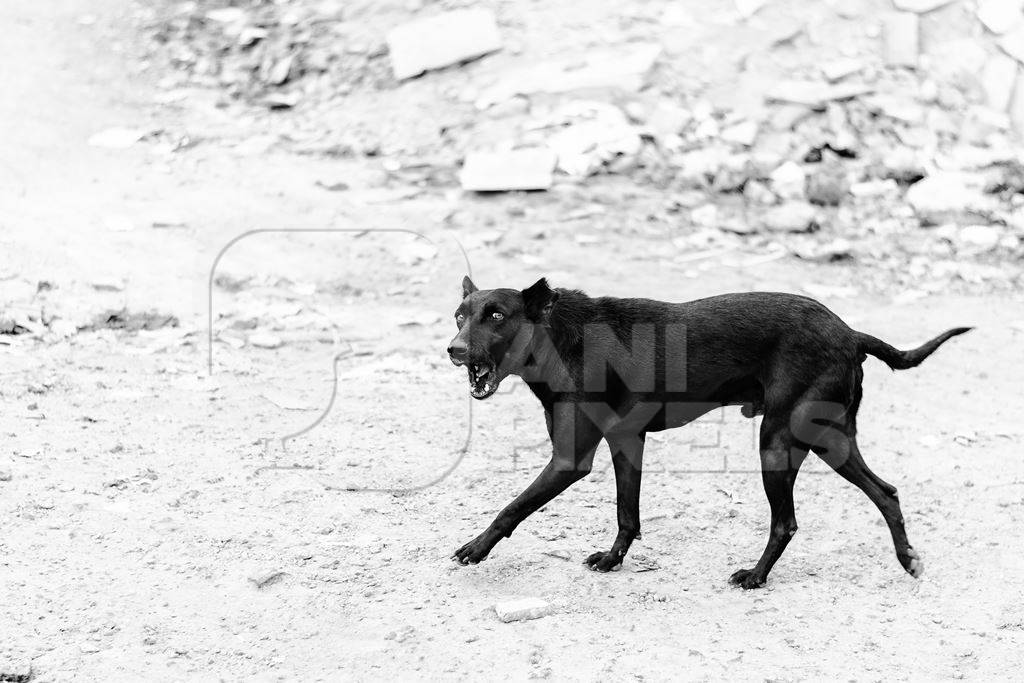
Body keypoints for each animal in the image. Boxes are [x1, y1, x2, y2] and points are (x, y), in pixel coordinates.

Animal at [446, 278, 966, 589]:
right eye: (460, 314)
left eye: (497, 315)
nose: (453, 349)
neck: (560, 339)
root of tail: (851, 333)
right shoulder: (626, 444)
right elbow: (627, 516)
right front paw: (614, 561)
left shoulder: (569, 461)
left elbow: (511, 508)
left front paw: (475, 548)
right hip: (828, 440)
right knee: (887, 492)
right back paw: (907, 559)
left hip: (780, 442)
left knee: (786, 522)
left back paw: (755, 576)